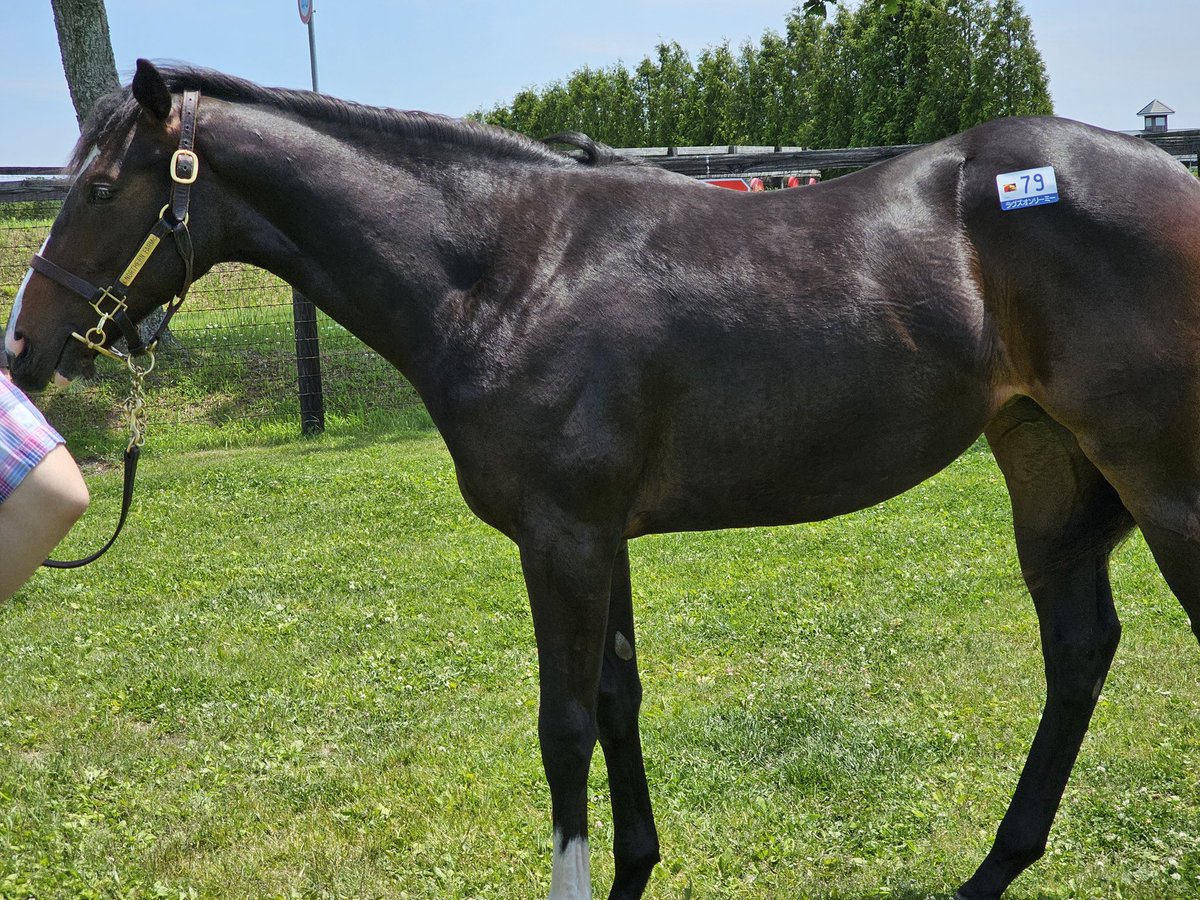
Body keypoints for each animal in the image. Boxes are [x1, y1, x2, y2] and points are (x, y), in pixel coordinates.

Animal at [7, 59, 1200, 899]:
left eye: (102, 185)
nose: (25, 347)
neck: (507, 268)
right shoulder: (599, 536)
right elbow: (619, 702)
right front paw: (635, 870)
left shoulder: (565, 537)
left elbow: (565, 723)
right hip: (1045, 461)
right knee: (1079, 649)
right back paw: (993, 867)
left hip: (1160, 482)